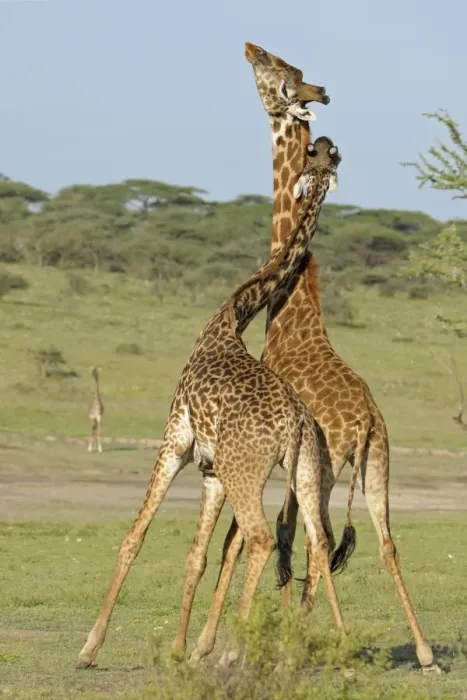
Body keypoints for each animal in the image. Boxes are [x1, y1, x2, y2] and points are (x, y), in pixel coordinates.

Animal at [77, 138, 346, 670]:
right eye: (319, 153)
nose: (324, 149)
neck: (233, 314)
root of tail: (294, 424)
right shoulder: (212, 471)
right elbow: (197, 555)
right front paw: (181, 650)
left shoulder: (175, 443)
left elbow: (134, 537)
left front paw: (90, 647)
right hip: (305, 471)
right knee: (319, 541)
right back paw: (329, 647)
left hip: (247, 471)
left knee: (262, 538)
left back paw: (234, 654)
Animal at [220, 41, 438, 676]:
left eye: (276, 69)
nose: (247, 46)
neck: (290, 308)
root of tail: (363, 425)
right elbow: (286, 542)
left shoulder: (289, 462)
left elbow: (276, 540)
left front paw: (259, 643)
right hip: (378, 466)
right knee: (386, 544)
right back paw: (424, 653)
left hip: (330, 467)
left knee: (315, 545)